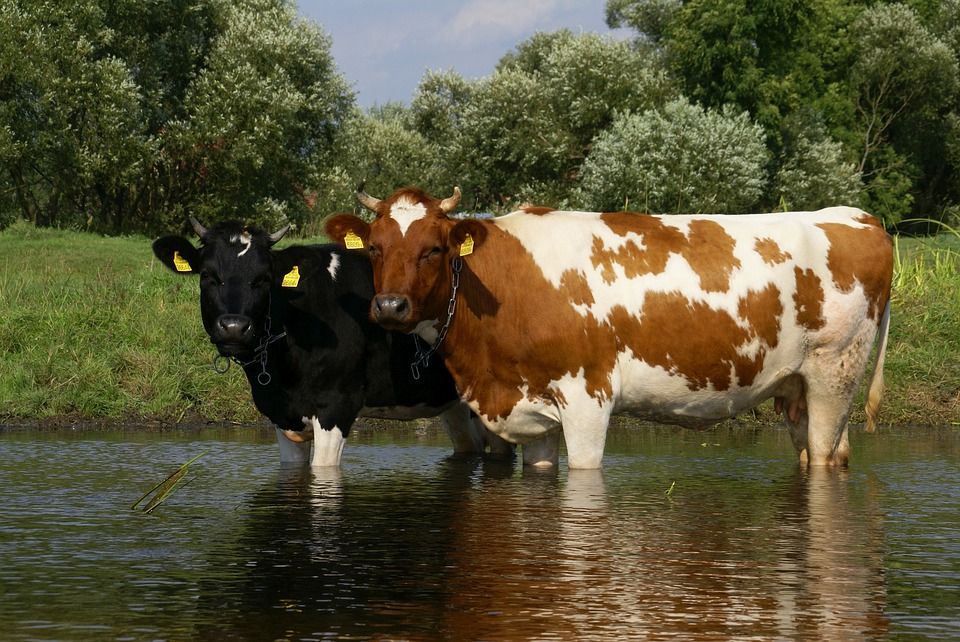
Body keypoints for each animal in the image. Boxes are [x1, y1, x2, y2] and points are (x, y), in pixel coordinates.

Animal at [324, 187, 893, 470]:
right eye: (374, 248)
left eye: (434, 249)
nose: (390, 306)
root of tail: (859, 217)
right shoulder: (532, 412)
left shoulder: (587, 400)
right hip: (798, 388)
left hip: (834, 373)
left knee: (822, 457)